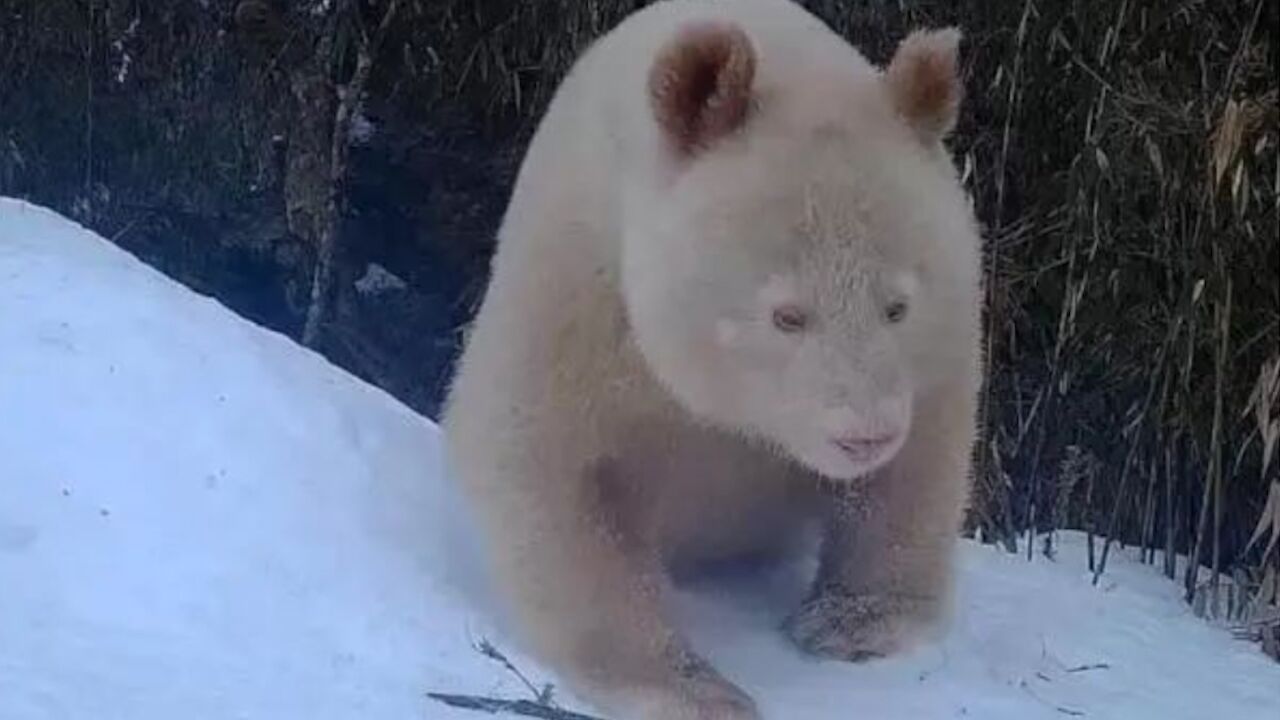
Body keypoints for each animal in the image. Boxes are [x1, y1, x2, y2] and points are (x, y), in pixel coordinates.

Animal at [440, 0, 977, 712]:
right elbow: (547, 464)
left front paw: (851, 622)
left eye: (898, 307)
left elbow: (918, 463)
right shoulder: (581, 287)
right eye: (786, 315)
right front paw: (693, 689)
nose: (865, 436)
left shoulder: (940, 341)